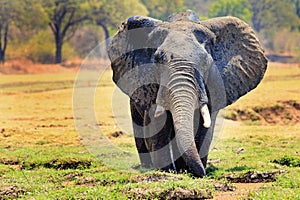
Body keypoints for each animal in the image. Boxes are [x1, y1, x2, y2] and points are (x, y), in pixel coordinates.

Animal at [108, 10, 268, 177]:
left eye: (206, 62)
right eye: (157, 59)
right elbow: (158, 127)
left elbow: (205, 128)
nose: (204, 173)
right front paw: (168, 171)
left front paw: (190, 171)